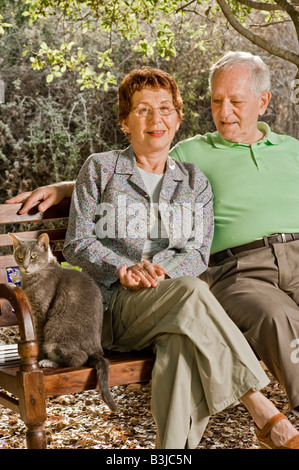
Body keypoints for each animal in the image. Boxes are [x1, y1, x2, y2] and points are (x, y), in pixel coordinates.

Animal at [8, 231, 116, 412]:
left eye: (34, 256)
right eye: (20, 256)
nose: (25, 266)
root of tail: (96, 350)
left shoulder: (41, 312)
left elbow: (38, 337)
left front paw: (38, 358)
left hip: (55, 329)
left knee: (79, 358)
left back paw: (48, 361)